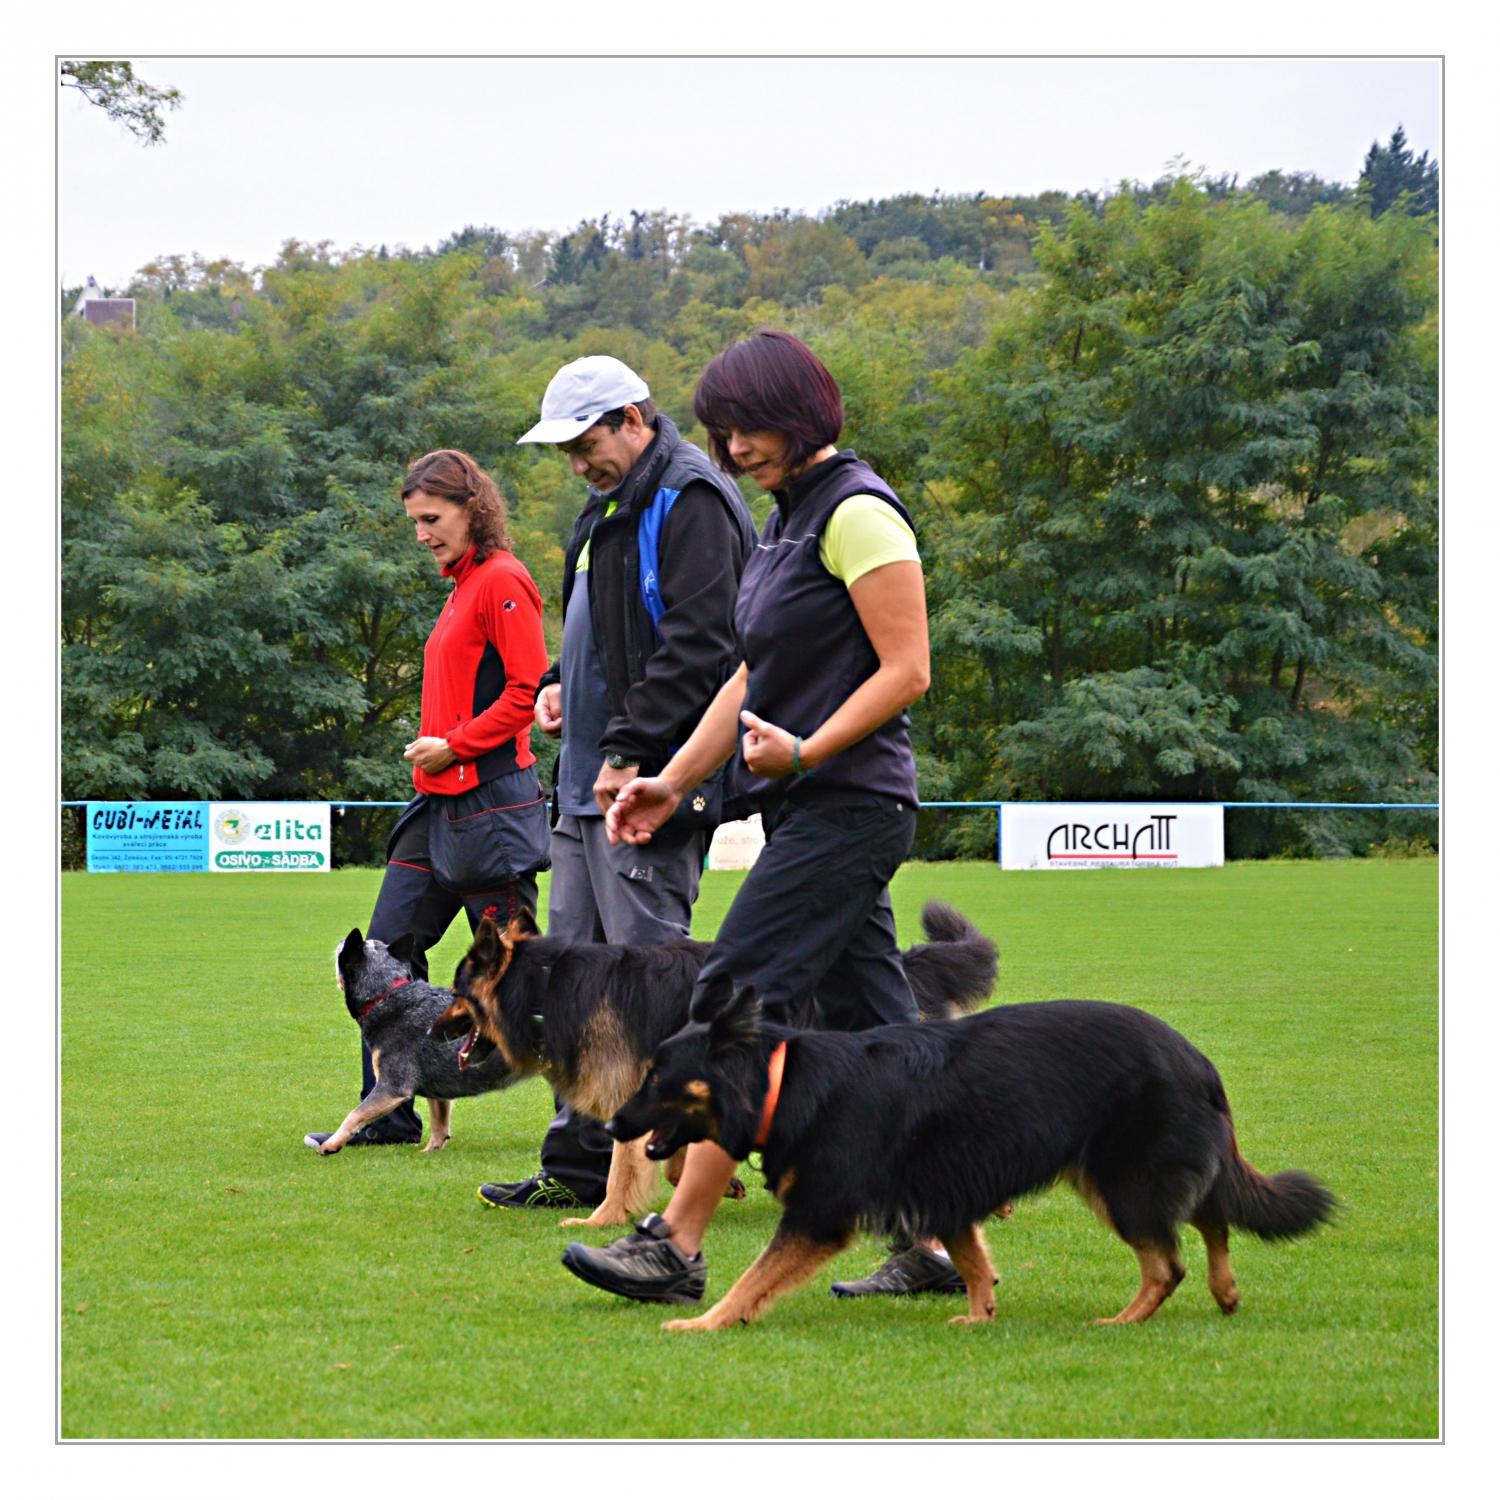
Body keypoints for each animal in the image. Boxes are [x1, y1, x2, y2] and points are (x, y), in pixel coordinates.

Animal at [308, 929, 516, 1154]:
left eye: (342, 950)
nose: (341, 940)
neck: (386, 996)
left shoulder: (392, 1086)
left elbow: (355, 1114)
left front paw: (331, 1144)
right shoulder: (437, 1089)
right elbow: (439, 1123)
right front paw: (430, 1151)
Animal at [431, 900, 999, 1228]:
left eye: (457, 993)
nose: (436, 1028)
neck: (543, 990)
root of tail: (909, 964)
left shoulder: (629, 1095)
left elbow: (622, 1172)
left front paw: (603, 1220)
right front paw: (716, 1180)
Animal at [600, 980, 1337, 1332]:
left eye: (659, 1079)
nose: (611, 1124)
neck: (781, 1082)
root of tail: (1197, 1060)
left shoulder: (819, 1214)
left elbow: (752, 1279)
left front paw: (706, 1322)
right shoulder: (946, 1193)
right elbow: (975, 1262)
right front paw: (981, 1316)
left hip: (1121, 1182)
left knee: (1169, 1260)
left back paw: (1124, 1319)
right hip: (1124, 1174)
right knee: (1212, 1214)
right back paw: (1226, 1290)